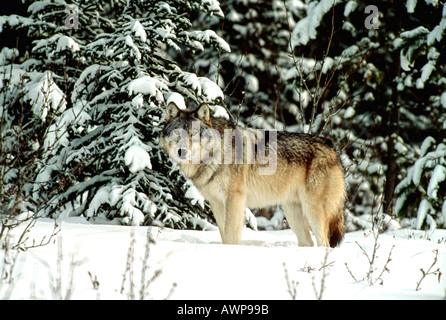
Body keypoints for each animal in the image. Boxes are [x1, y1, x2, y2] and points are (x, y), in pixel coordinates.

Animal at [159, 102, 344, 248]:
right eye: (177, 134)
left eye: (194, 134)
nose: (182, 151)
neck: (216, 154)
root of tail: (332, 148)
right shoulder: (216, 203)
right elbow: (224, 235)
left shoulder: (234, 199)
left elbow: (231, 234)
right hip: (293, 213)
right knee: (309, 242)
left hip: (313, 211)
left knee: (324, 244)